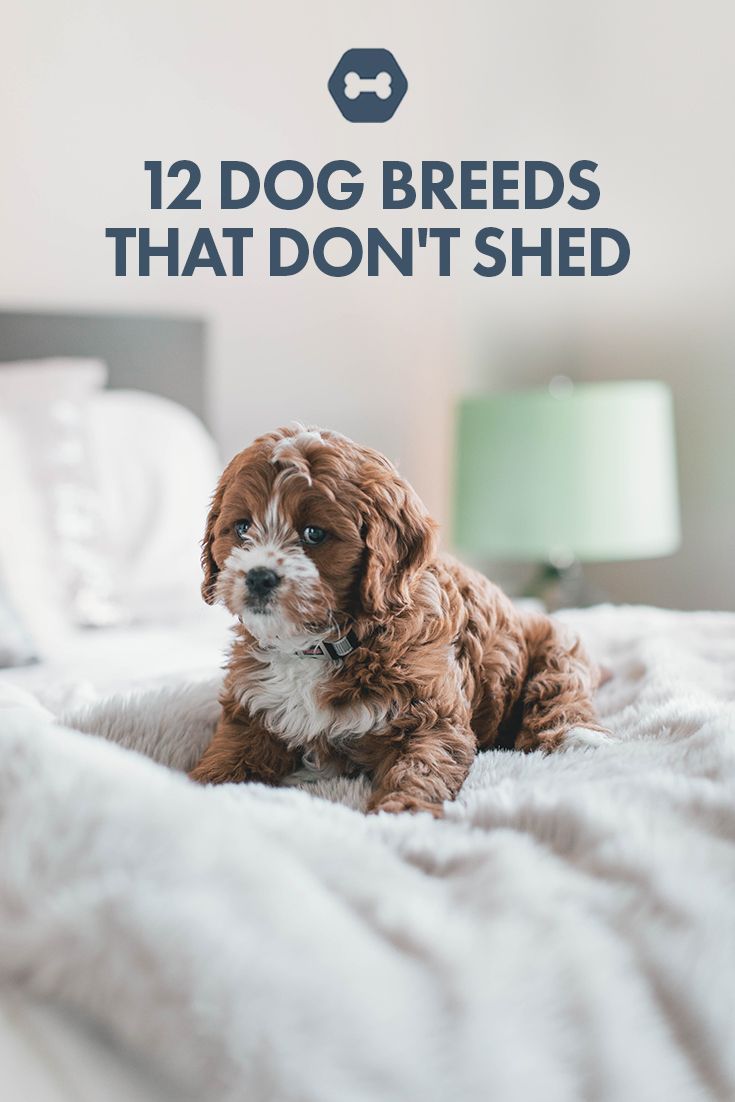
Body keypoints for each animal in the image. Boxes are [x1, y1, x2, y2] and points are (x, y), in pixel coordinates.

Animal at [188, 425, 603, 815]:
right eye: (242, 527)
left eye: (314, 533)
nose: (259, 577)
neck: (322, 644)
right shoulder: (251, 712)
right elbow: (229, 755)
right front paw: (196, 788)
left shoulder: (430, 716)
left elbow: (420, 768)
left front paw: (402, 813)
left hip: (556, 643)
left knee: (560, 690)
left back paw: (578, 738)